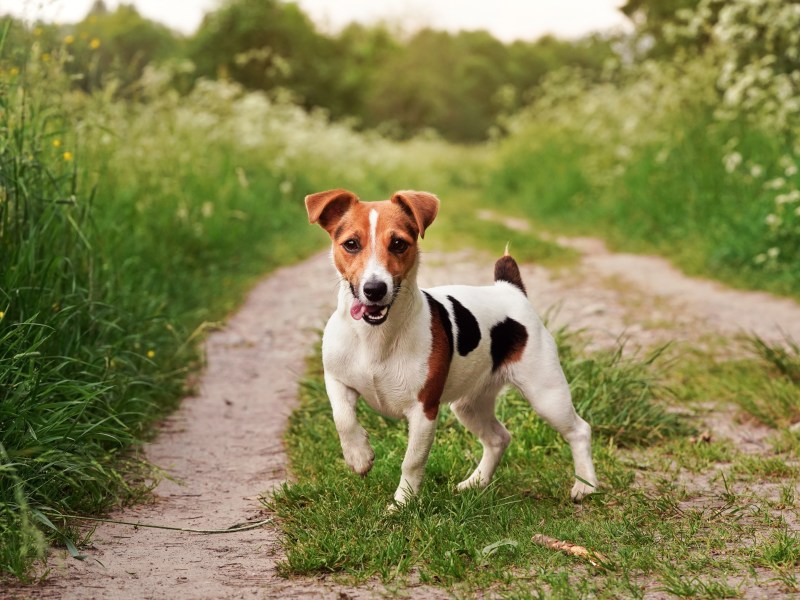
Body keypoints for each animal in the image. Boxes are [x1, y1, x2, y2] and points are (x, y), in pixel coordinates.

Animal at [304, 189, 596, 506]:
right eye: (351, 244)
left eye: (398, 244)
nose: (374, 289)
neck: (375, 335)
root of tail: (510, 289)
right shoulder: (336, 379)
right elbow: (343, 418)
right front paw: (359, 456)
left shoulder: (424, 411)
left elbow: (412, 461)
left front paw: (402, 504)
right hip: (469, 404)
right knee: (498, 438)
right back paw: (476, 482)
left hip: (546, 394)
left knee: (579, 431)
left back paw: (586, 486)